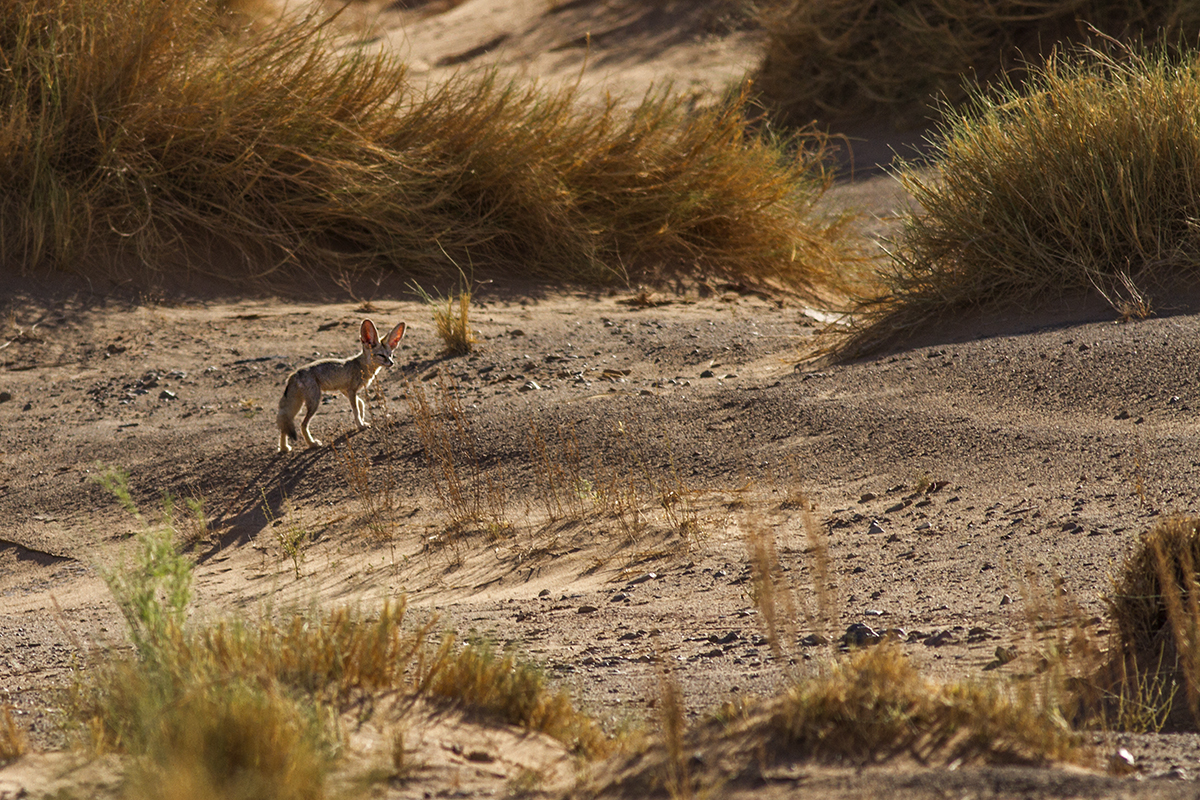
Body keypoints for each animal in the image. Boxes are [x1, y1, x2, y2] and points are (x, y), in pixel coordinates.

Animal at [277, 321, 405, 453]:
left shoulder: (345, 390)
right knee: (302, 425)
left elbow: (360, 403)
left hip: (298, 405)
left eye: (390, 355)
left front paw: (363, 420)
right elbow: (355, 409)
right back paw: (312, 443)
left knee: (284, 425)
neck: (361, 365)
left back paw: (284, 447)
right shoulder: (351, 390)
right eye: (381, 355)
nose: (391, 363)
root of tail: (294, 374)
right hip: (314, 403)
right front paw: (360, 425)